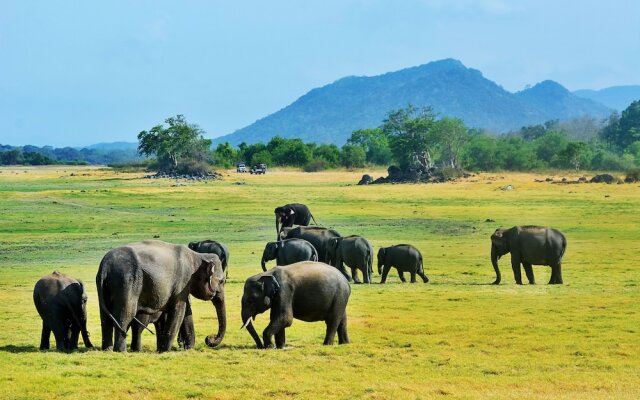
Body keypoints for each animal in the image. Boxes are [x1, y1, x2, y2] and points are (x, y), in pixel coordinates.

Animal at [94, 239, 226, 352]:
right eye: (221, 281)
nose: (209, 338)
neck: (198, 256)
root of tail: (105, 266)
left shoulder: (185, 285)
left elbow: (187, 312)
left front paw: (189, 349)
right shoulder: (183, 280)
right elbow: (179, 311)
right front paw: (164, 351)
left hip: (105, 286)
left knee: (105, 318)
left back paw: (108, 349)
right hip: (126, 282)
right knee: (126, 313)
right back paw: (121, 351)